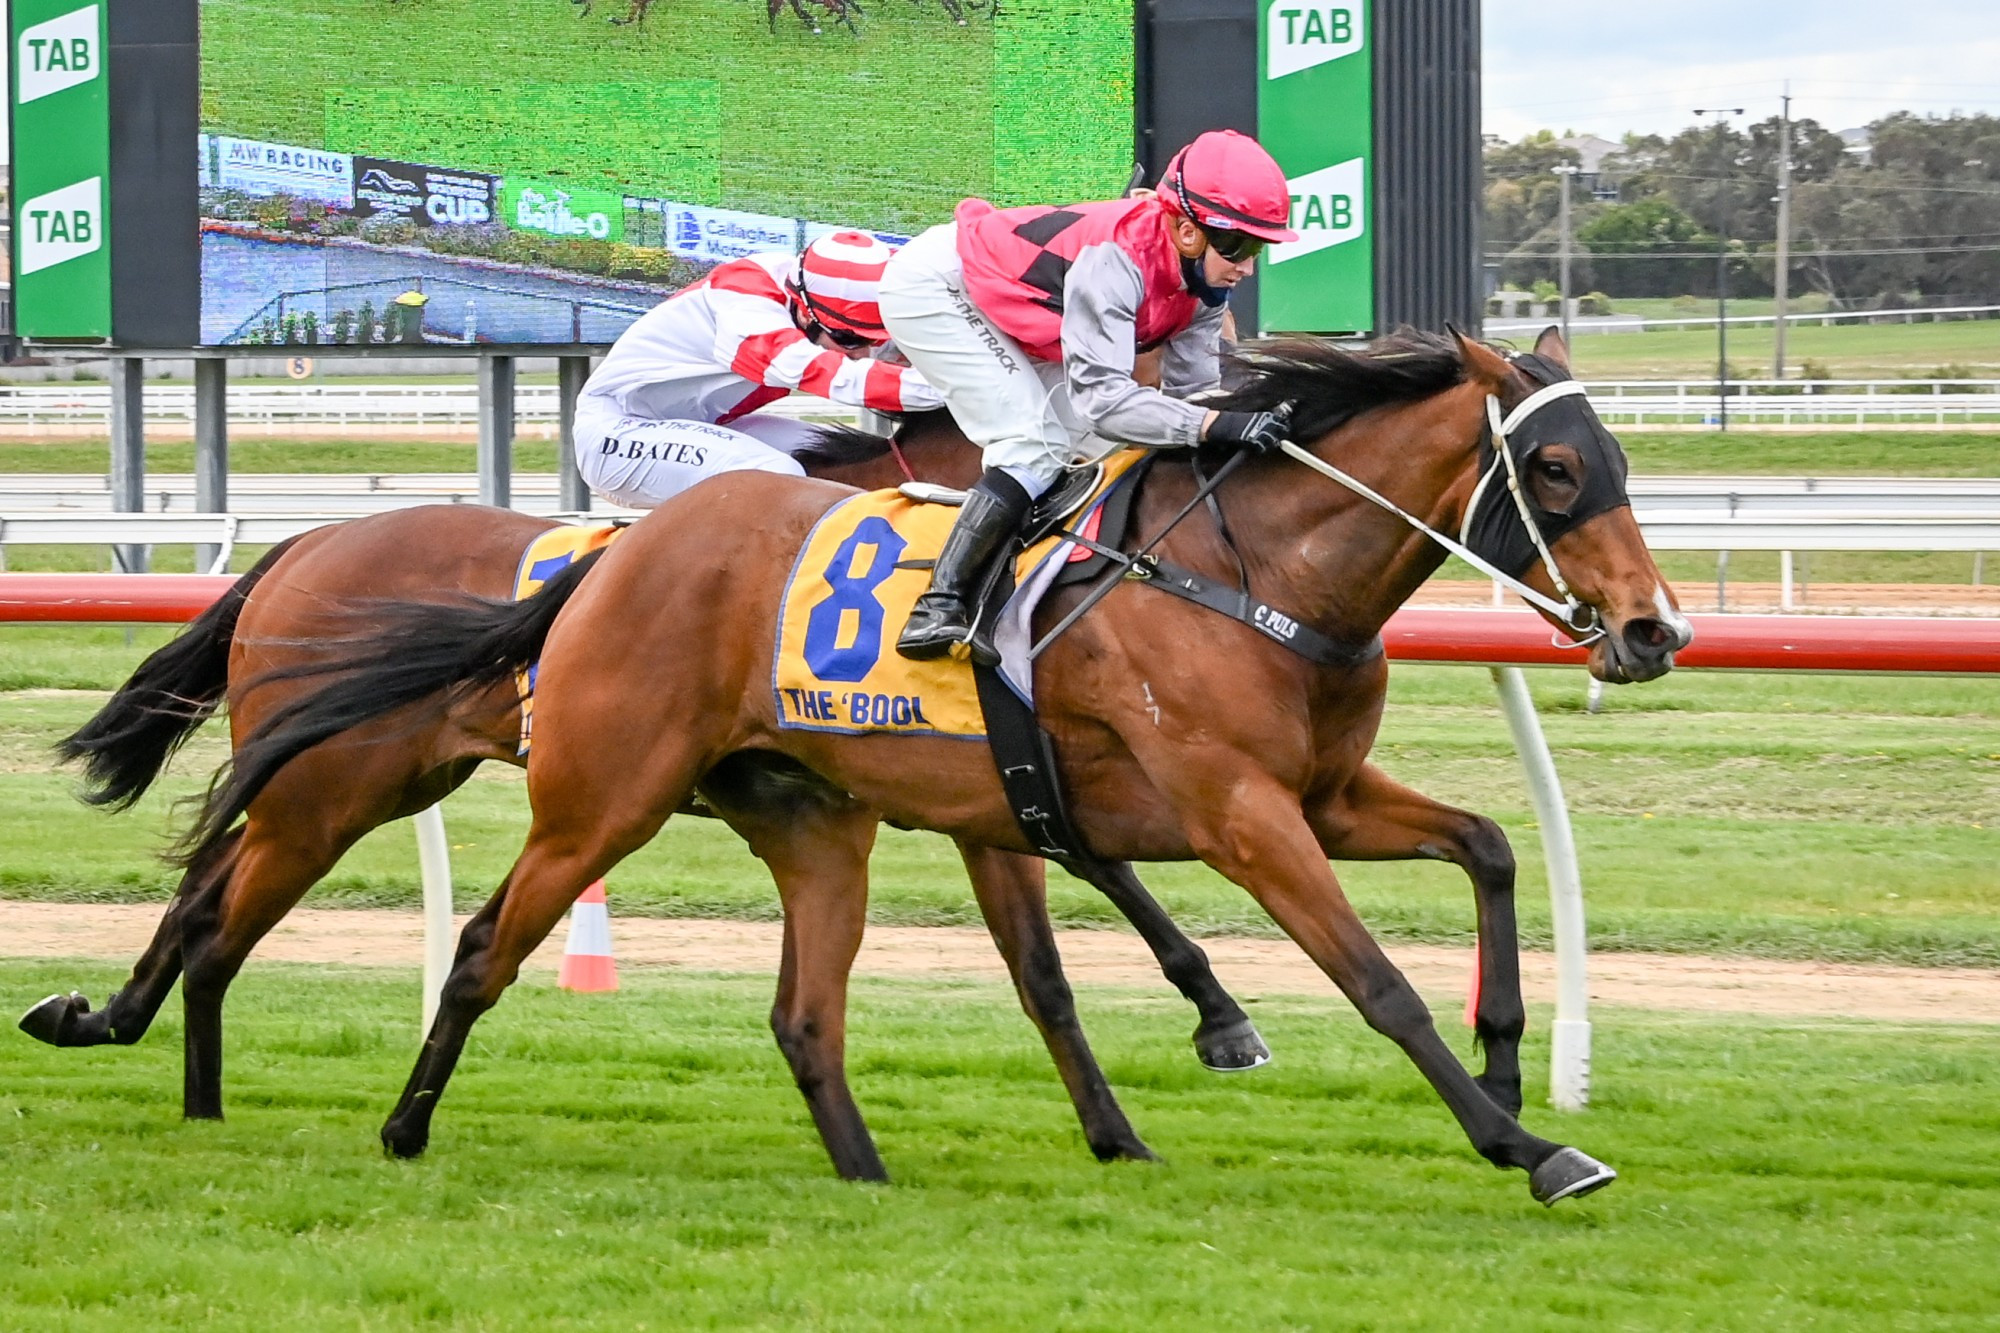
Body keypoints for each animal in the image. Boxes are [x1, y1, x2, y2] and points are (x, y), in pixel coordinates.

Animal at [27, 408, 1264, 1120]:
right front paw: (1217, 1011)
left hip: (358, 777)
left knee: (206, 880)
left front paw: (1214, 1010)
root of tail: (305, 541)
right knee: (222, 893)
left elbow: (1094, 877)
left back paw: (104, 1018)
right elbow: (1111, 867)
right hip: (335, 785)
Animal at [180, 326, 1696, 1200]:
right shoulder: (1233, 814)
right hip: (555, 795)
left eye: (1616, 460)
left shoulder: (1311, 795)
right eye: (1555, 471)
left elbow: (1488, 844)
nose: (1651, 630)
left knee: (803, 1012)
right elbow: (1371, 981)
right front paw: (1529, 1147)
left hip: (804, 820)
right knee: (461, 939)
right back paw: (387, 1125)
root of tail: (613, 562)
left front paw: (1507, 1063)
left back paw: (864, 1173)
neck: (1249, 574)